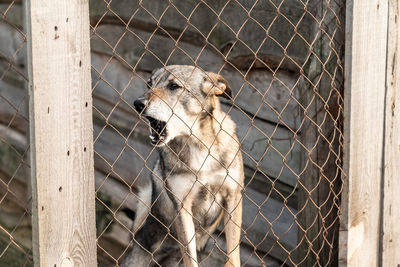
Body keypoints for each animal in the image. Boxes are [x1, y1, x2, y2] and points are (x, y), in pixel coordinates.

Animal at [120, 65, 242, 267]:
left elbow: (233, 253)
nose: (138, 103)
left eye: (174, 86)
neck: (198, 144)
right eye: (149, 83)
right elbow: (190, 258)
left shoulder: (233, 196)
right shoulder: (182, 207)